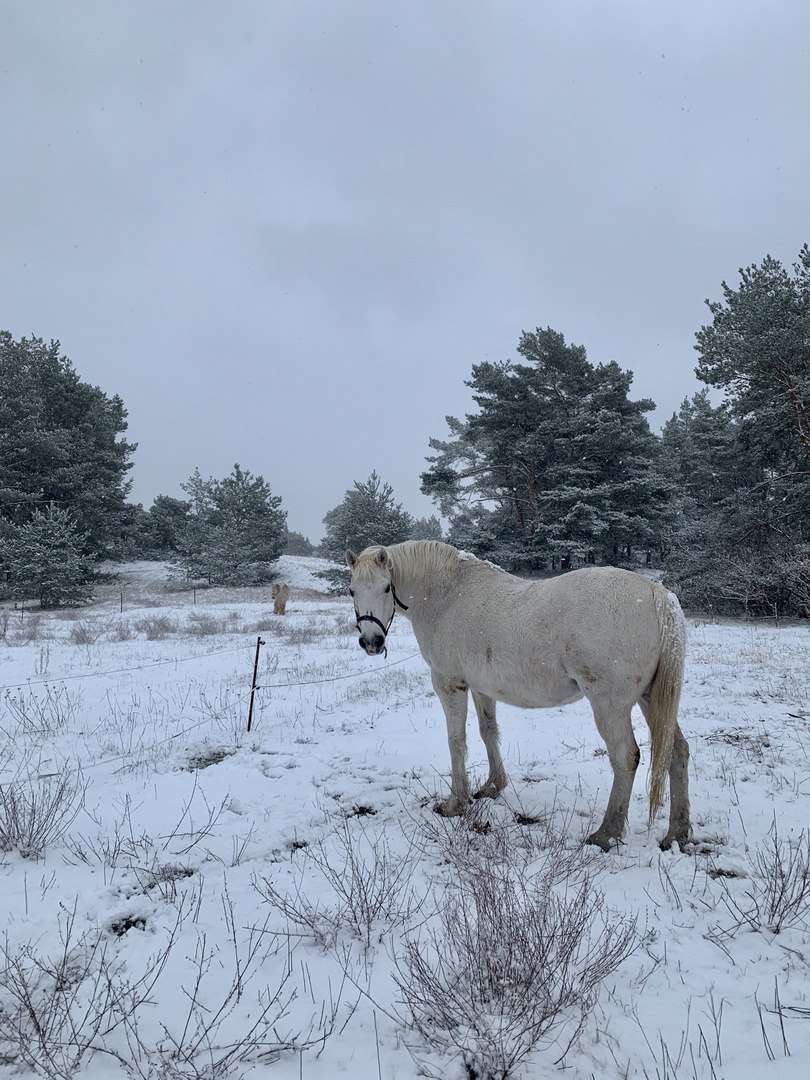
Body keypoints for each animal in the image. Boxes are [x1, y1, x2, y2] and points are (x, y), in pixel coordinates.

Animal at [347, 540, 691, 851]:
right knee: (678, 752)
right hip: (650, 698)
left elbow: (456, 741)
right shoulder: (481, 687)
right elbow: (488, 732)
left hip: (610, 706)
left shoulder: (449, 684)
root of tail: (656, 594)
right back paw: (677, 834)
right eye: (352, 591)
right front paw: (491, 787)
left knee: (625, 757)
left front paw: (454, 803)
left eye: (386, 588)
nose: (372, 641)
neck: (446, 594)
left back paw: (605, 834)